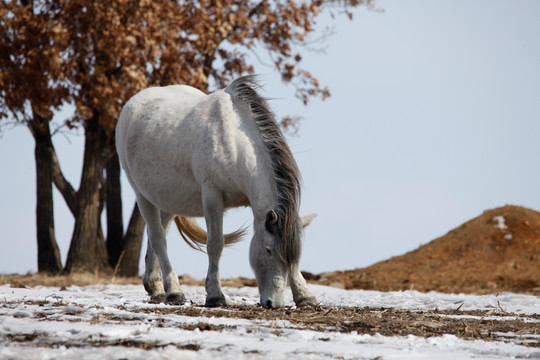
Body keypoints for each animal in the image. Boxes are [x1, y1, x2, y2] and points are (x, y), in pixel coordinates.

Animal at [115, 75, 316, 306]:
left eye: (294, 256)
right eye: (268, 250)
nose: (273, 303)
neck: (234, 140)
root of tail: (132, 105)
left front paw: (304, 295)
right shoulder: (212, 197)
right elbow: (215, 245)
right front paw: (215, 295)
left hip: (166, 198)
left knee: (157, 235)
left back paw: (156, 288)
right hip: (142, 196)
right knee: (158, 237)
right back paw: (174, 291)